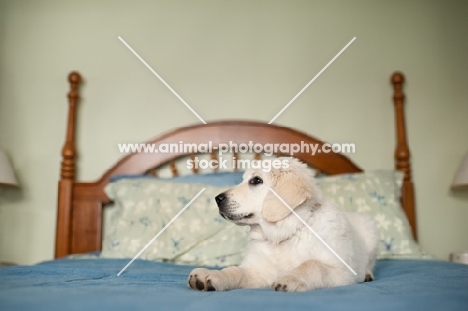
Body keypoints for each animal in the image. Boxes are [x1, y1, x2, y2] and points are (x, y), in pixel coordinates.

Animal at [186, 158, 376, 292]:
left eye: (256, 181)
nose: (217, 199)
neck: (285, 233)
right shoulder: (257, 271)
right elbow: (235, 271)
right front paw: (211, 275)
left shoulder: (342, 272)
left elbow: (313, 264)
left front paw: (290, 278)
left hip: (369, 229)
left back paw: (367, 274)